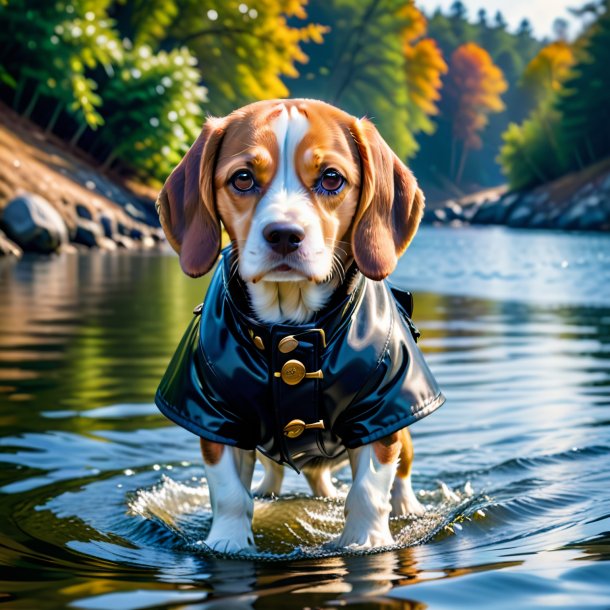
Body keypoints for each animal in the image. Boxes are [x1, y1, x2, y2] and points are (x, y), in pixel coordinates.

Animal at [154, 98, 444, 552]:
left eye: (331, 178)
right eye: (243, 178)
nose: (284, 234)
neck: (289, 328)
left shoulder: (381, 411)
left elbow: (368, 490)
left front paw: (365, 541)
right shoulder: (214, 416)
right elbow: (229, 494)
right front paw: (228, 542)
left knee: (398, 475)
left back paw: (406, 506)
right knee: (286, 474)